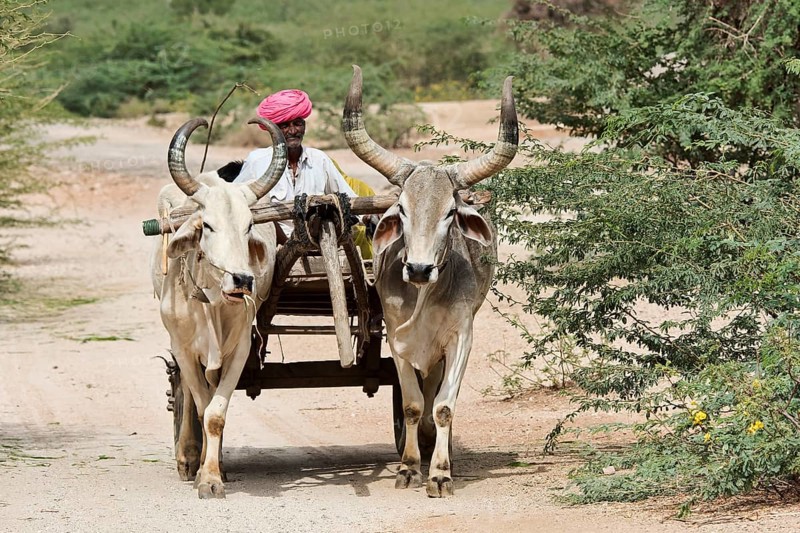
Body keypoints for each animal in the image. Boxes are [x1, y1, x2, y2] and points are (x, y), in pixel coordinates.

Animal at [150, 117, 287, 499]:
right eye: (207, 225)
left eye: (250, 225)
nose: (241, 280)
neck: (211, 301)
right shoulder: (182, 348)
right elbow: (199, 404)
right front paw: (202, 471)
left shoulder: (240, 348)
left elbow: (215, 413)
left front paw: (212, 475)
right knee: (186, 390)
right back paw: (188, 458)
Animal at [342, 65, 518, 497]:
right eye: (402, 209)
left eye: (450, 212)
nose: (419, 269)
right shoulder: (395, 337)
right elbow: (411, 405)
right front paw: (408, 468)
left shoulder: (461, 338)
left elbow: (443, 406)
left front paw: (439, 472)